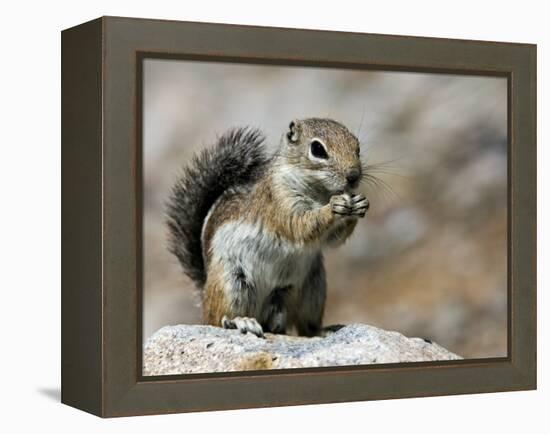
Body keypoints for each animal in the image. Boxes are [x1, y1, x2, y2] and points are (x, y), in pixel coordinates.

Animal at [166, 118, 368, 340]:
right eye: (317, 149)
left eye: (357, 147)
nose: (353, 176)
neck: (319, 191)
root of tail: (204, 293)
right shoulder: (279, 200)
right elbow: (299, 226)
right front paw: (333, 207)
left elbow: (333, 239)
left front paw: (359, 204)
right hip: (231, 283)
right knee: (218, 319)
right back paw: (240, 321)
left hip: (312, 288)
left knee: (303, 326)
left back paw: (320, 330)